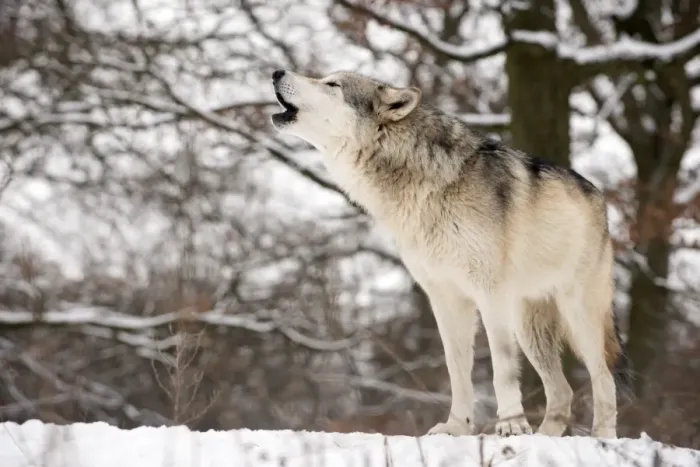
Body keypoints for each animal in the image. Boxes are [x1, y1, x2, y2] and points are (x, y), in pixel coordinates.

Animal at [269, 69, 630, 438]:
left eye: (333, 84)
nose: (277, 72)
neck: (423, 183)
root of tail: (598, 197)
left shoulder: (489, 294)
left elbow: (502, 368)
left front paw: (511, 426)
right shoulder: (445, 298)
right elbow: (456, 368)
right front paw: (457, 426)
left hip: (576, 316)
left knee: (603, 378)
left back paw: (602, 438)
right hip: (529, 327)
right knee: (563, 391)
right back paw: (545, 437)